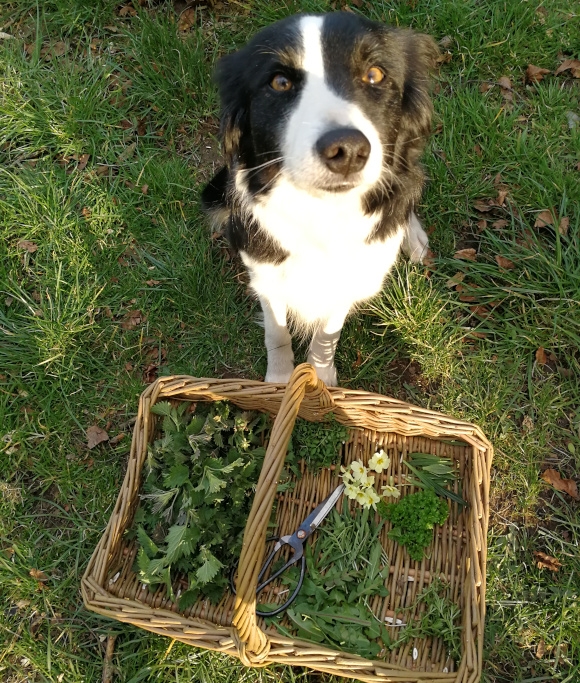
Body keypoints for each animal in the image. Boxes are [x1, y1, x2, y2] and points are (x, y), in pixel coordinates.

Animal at [202, 12, 438, 384]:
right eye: (280, 82)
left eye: (375, 74)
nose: (348, 151)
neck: (322, 214)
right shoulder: (265, 273)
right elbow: (277, 332)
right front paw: (280, 382)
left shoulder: (350, 277)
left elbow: (329, 332)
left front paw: (319, 376)